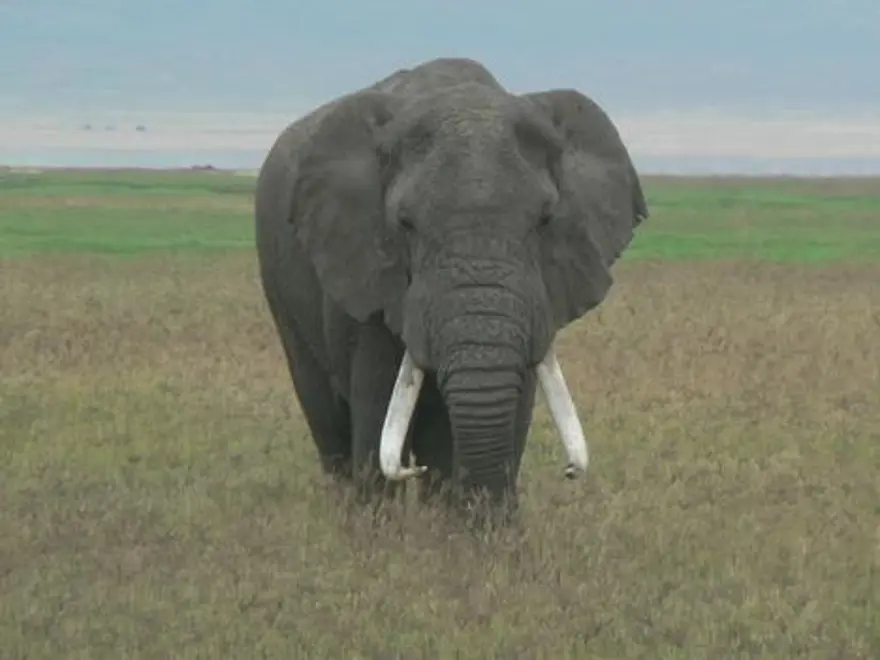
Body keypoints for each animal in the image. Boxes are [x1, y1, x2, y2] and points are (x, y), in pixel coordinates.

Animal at [254, 57, 648, 524]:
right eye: (405, 223)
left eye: (545, 220)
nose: (569, 472)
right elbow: (375, 418)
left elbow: (511, 421)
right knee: (330, 428)